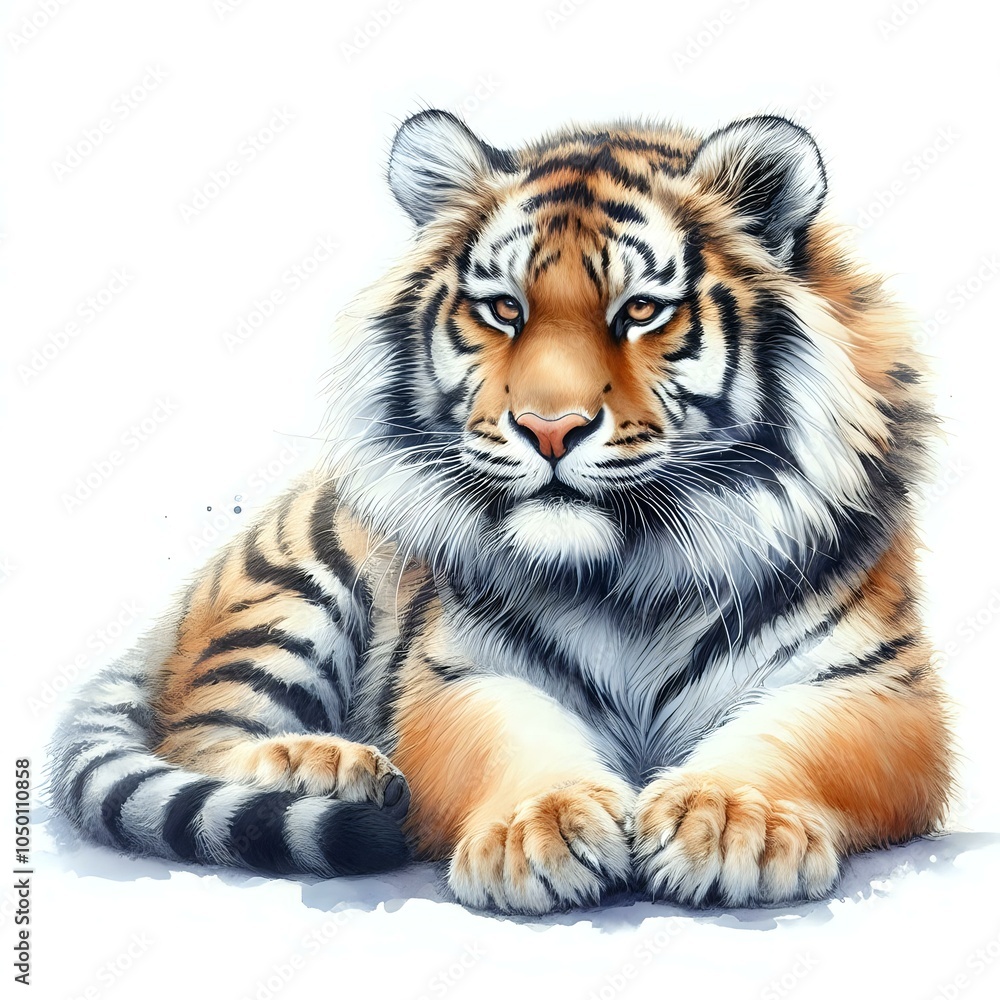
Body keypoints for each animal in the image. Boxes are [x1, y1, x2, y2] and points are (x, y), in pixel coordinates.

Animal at [50, 109, 954, 914]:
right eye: (503, 309)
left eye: (640, 311)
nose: (549, 427)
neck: (630, 572)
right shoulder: (461, 675)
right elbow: (512, 736)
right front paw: (541, 831)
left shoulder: (875, 686)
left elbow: (787, 736)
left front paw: (730, 821)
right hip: (296, 588)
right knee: (191, 731)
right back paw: (331, 766)